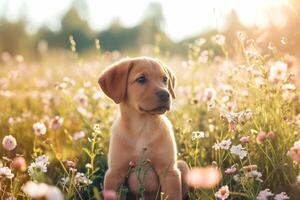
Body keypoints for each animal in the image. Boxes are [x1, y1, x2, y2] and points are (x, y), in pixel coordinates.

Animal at [98, 56, 188, 200]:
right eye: (141, 79)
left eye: (165, 79)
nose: (165, 94)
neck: (143, 127)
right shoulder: (114, 173)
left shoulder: (169, 171)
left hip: (182, 166)